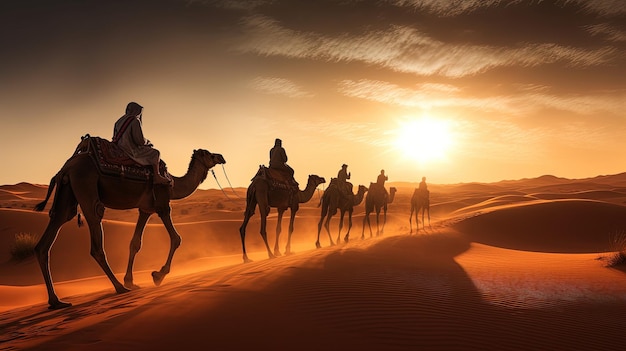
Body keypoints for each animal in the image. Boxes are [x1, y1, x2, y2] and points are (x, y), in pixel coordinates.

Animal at [33, 136, 224, 310]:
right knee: (96, 235)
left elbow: (135, 243)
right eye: (209, 154)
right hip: (85, 185)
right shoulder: (162, 204)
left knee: (51, 232)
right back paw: (119, 287)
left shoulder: (145, 209)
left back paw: (56, 301)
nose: (221, 156)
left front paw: (131, 281)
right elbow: (176, 238)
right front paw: (158, 276)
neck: (173, 183)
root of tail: (66, 167)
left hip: (67, 192)